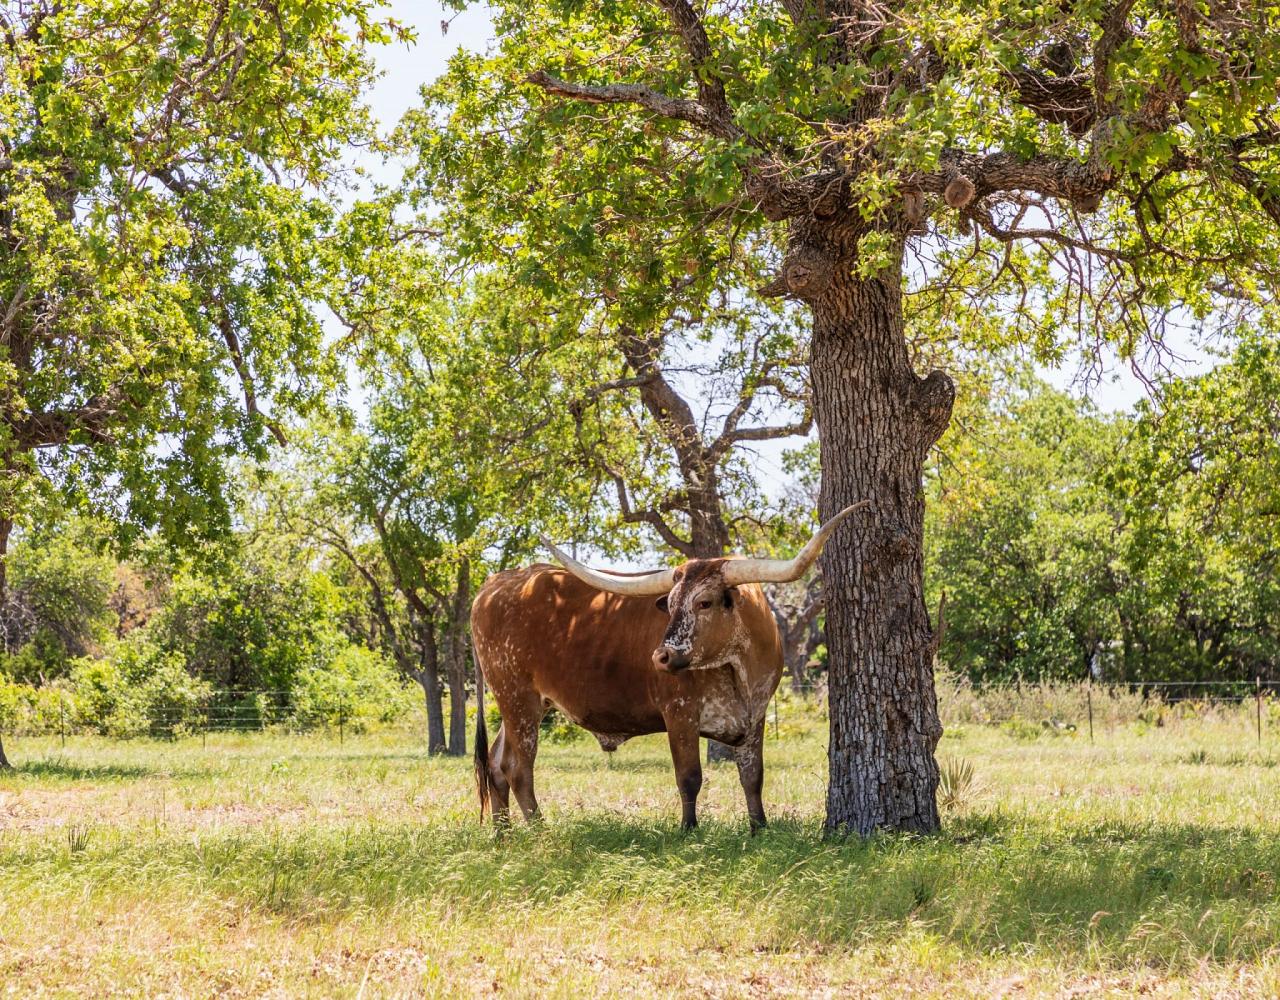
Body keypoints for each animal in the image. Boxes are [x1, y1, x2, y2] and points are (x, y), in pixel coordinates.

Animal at [473, 504, 870, 829]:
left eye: (705, 602)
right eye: (672, 603)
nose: (660, 656)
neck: (736, 669)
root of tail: (495, 583)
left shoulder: (755, 717)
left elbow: (752, 777)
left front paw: (760, 828)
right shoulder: (679, 713)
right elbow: (689, 777)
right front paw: (689, 830)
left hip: (525, 704)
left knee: (495, 765)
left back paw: (503, 835)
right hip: (517, 698)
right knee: (517, 768)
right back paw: (540, 831)